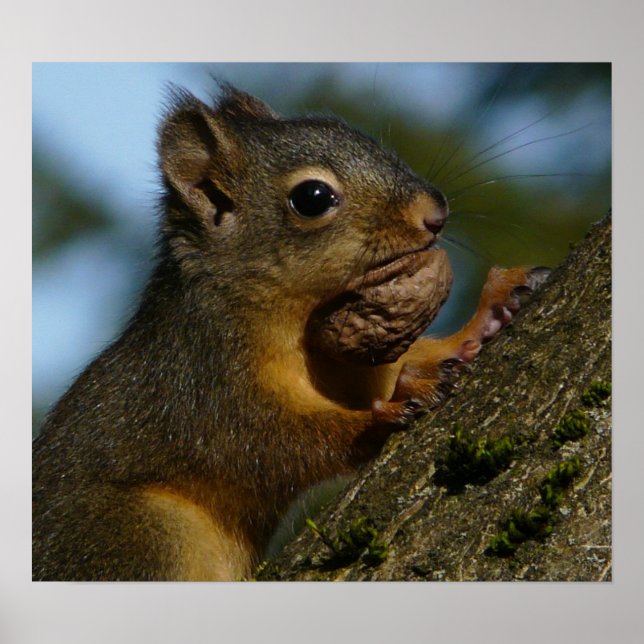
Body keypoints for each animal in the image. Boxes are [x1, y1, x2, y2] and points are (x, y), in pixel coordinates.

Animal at [32, 84, 549, 581]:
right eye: (312, 198)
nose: (436, 211)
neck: (295, 314)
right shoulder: (201, 380)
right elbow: (267, 442)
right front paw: (383, 414)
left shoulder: (347, 357)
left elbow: (396, 363)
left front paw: (486, 316)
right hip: (135, 535)